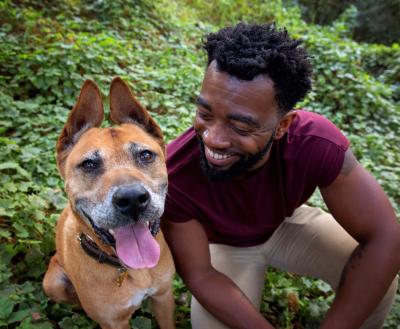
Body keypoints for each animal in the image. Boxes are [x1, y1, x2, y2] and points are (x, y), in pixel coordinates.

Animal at [43, 77, 176, 328]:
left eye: (145, 155)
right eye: (88, 164)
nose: (132, 199)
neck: (130, 269)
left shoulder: (163, 297)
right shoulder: (114, 322)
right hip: (51, 283)